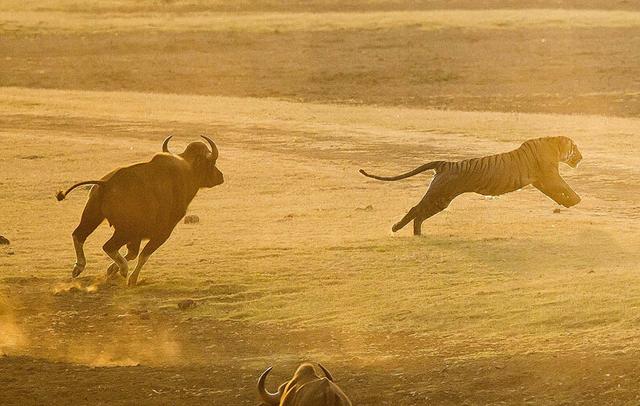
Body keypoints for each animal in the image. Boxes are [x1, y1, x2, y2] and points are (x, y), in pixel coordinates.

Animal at [362, 136, 584, 235]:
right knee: (415, 209)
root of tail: (444, 164)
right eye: (575, 147)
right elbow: (564, 187)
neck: (554, 147)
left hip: (441, 201)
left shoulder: (541, 180)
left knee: (420, 215)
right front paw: (576, 200)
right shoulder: (549, 175)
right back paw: (397, 228)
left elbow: (556, 193)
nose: (581, 157)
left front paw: (569, 203)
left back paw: (417, 234)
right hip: (439, 197)